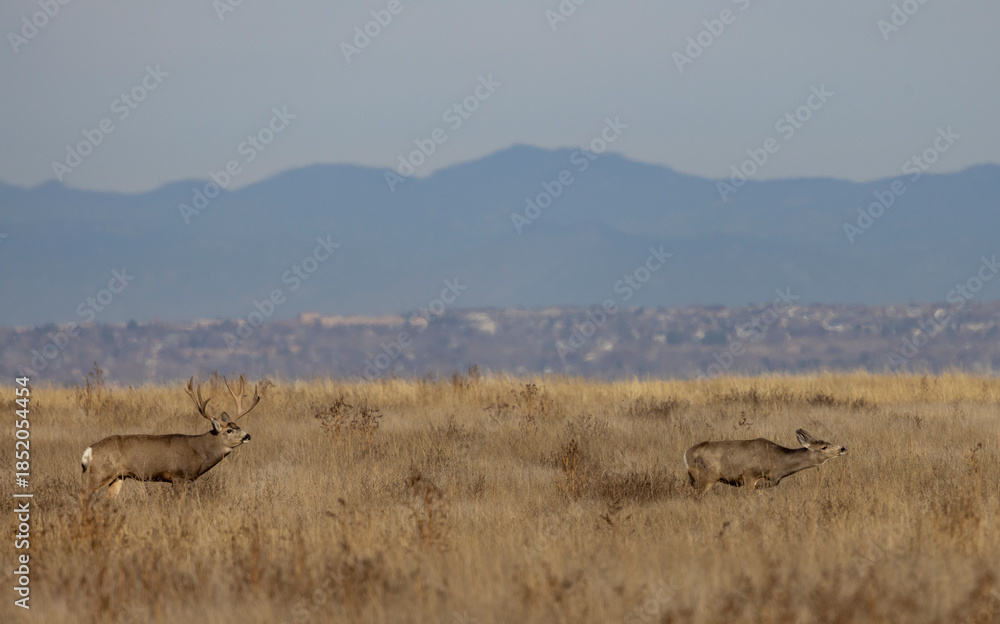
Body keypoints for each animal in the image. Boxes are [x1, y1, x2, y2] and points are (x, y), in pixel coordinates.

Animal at [80, 375, 260, 502]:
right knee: (84, 493)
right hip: (101, 472)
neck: (198, 451)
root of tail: (90, 450)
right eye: (229, 430)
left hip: (118, 477)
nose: (247, 435)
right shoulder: (178, 476)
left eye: (238, 426)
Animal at [684, 429, 846, 494]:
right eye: (824, 447)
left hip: (692, 478)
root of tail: (686, 454)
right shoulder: (749, 474)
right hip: (705, 476)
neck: (777, 463)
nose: (843, 448)